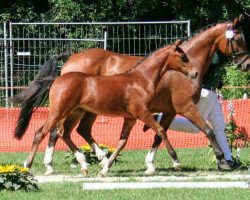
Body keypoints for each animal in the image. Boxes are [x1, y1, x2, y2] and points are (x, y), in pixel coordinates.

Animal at [13, 39, 198, 176]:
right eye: (183, 57)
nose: (194, 73)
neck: (141, 79)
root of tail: (57, 78)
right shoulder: (142, 113)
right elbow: (160, 130)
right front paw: (176, 162)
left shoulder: (130, 118)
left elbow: (122, 141)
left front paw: (105, 168)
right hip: (59, 112)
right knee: (42, 132)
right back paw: (28, 165)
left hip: (75, 112)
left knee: (64, 133)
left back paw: (84, 164)